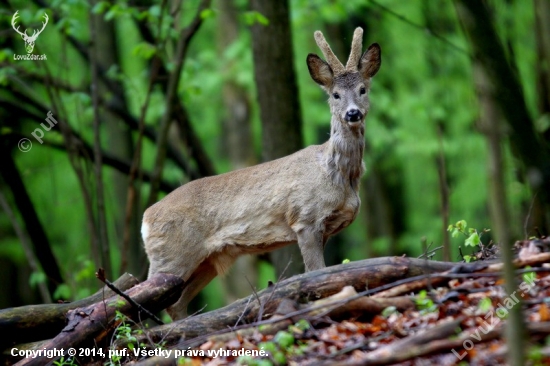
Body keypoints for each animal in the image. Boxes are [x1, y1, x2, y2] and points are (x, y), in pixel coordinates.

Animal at [142, 27, 382, 320]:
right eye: (335, 94)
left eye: (362, 89)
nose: (352, 113)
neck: (338, 176)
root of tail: (146, 218)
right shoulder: (305, 218)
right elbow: (316, 273)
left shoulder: (325, 228)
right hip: (171, 256)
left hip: (207, 261)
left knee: (176, 304)